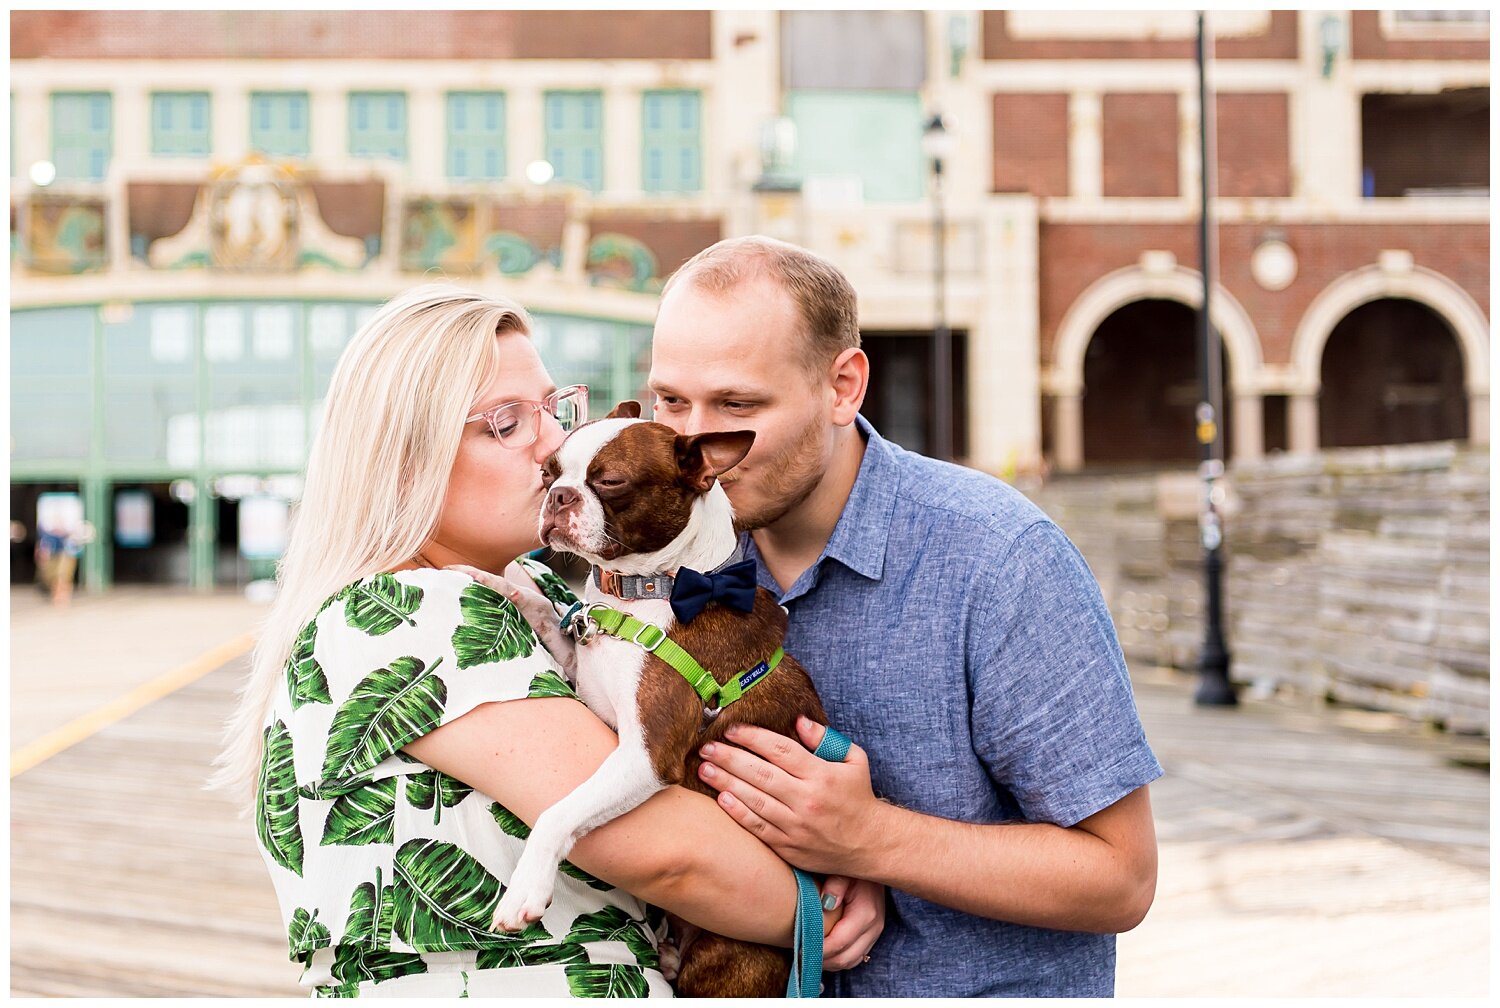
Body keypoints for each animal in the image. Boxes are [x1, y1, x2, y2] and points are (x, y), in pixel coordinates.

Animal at [465, 399, 828, 990]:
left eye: (610, 482)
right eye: (548, 472)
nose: (558, 496)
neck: (642, 593)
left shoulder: (646, 756)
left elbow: (559, 813)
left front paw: (525, 889)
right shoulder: (581, 668)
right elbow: (545, 610)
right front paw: (499, 580)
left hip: (728, 962)